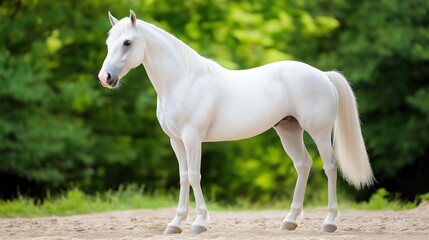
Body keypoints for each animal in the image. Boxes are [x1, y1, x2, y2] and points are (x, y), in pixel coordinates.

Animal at [98, 10, 372, 233]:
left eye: (127, 42)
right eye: (108, 43)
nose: (105, 77)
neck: (183, 81)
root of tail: (323, 75)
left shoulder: (192, 138)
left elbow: (195, 176)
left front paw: (199, 223)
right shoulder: (176, 140)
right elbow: (184, 177)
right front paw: (175, 224)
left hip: (320, 132)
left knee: (330, 166)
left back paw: (329, 222)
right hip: (288, 130)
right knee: (303, 165)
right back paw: (290, 221)